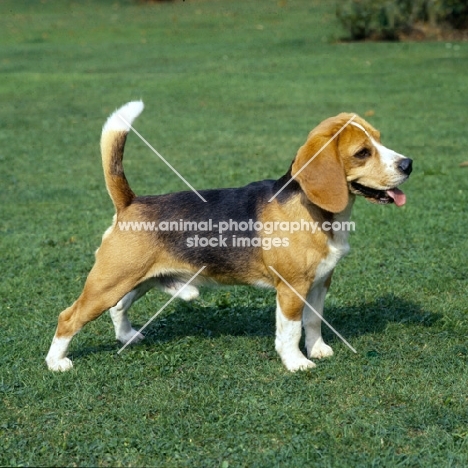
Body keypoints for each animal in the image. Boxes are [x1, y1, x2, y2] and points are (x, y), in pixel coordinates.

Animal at [45, 102, 412, 372]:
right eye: (363, 152)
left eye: (380, 140)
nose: (408, 164)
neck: (316, 211)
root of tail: (131, 202)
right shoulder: (292, 288)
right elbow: (291, 329)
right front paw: (296, 363)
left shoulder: (320, 282)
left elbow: (313, 321)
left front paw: (318, 349)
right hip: (108, 282)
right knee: (68, 317)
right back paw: (56, 362)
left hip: (139, 279)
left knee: (119, 307)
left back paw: (127, 337)